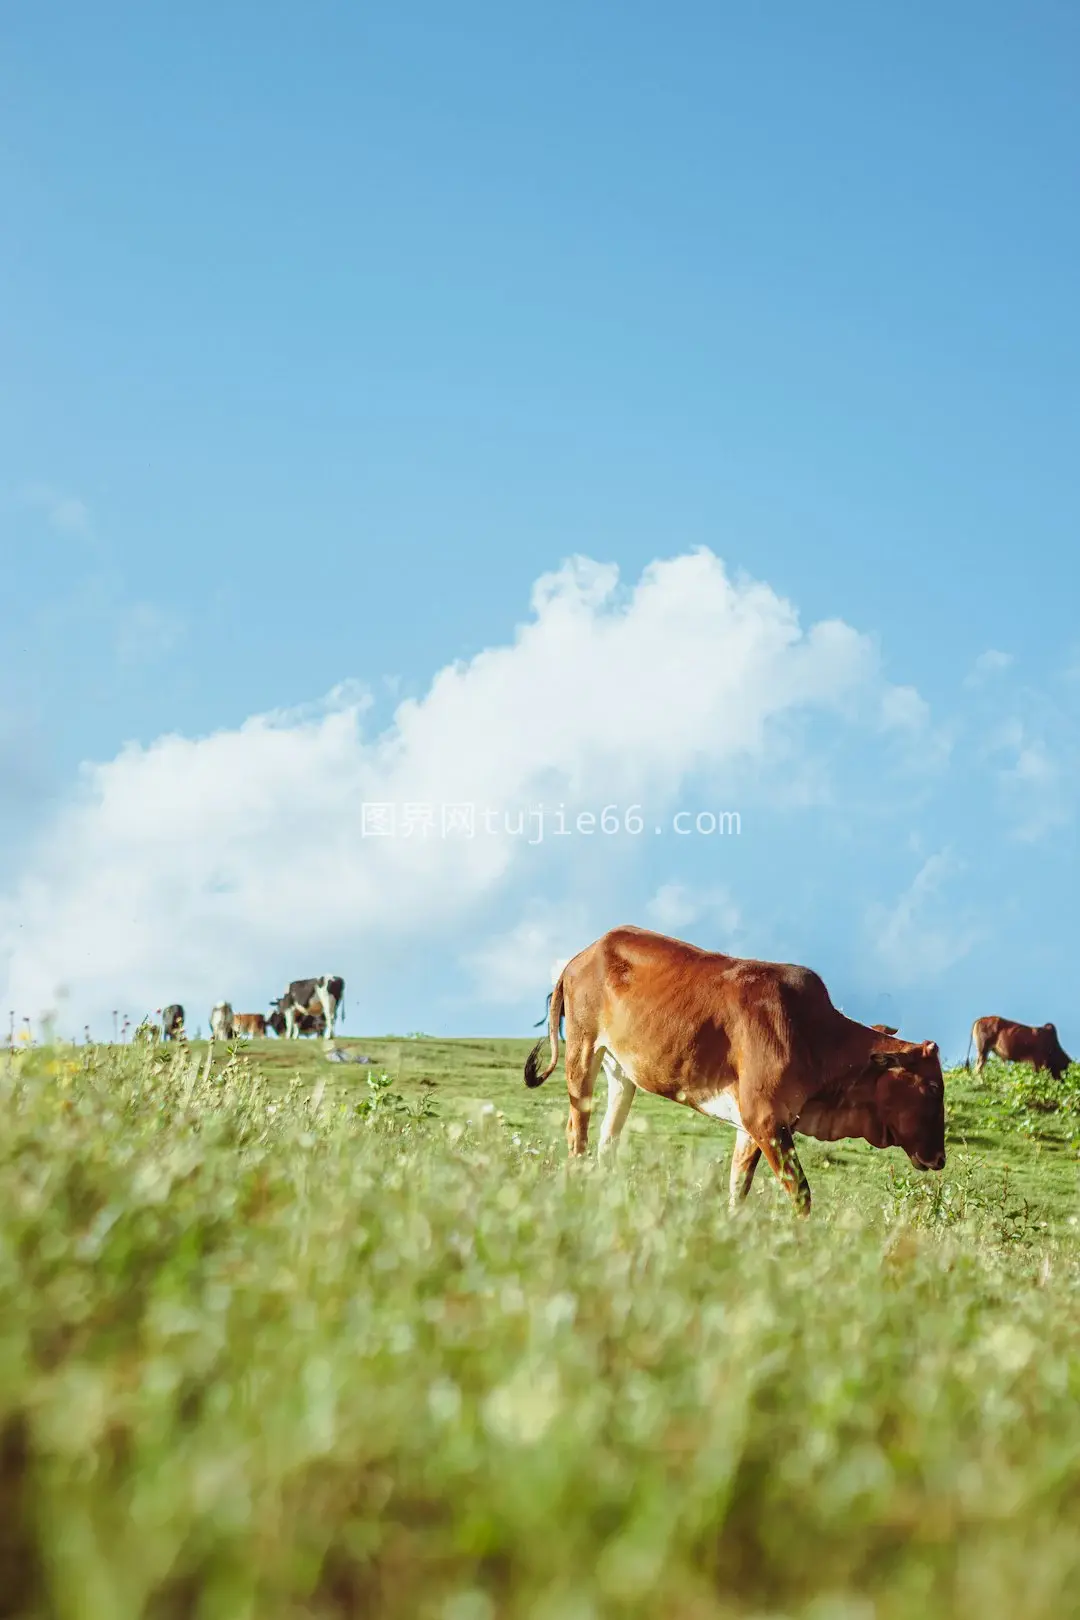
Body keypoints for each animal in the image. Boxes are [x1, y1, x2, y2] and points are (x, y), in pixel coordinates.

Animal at [524, 926, 945, 1218]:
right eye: (931, 1088)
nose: (939, 1159)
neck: (815, 1037)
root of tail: (582, 955)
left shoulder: (755, 1127)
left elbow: (738, 1188)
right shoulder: (765, 1121)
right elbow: (801, 1195)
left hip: (621, 1073)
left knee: (607, 1141)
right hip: (583, 1052)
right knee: (577, 1131)